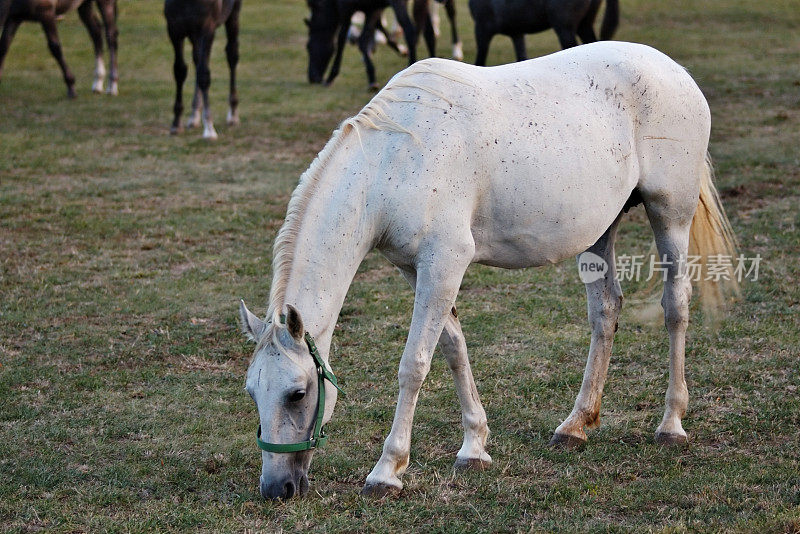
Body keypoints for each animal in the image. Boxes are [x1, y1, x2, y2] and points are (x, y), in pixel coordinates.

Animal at [166, 0, 242, 140]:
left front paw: (209, 129)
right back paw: (194, 116)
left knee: (232, 55)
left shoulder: (206, 29)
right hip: (194, 35)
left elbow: (203, 75)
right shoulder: (174, 30)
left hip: (233, 15)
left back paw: (233, 114)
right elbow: (179, 71)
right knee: (197, 60)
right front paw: (176, 123)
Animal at [238, 42, 736, 502]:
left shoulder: (445, 262)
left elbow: (414, 364)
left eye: (297, 393)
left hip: (670, 214)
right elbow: (453, 348)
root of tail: (673, 69)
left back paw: (671, 424)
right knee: (606, 312)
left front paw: (387, 470)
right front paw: (474, 447)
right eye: (252, 392)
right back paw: (575, 426)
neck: (392, 160)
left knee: (675, 307)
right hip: (600, 231)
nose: (276, 487)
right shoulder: (417, 269)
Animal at [306, 0, 456, 90]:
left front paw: (331, 76)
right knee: (428, 33)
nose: (312, 77)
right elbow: (368, 36)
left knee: (410, 30)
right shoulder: (372, 9)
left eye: (308, 47)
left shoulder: (347, 9)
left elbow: (342, 39)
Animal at [468, 0, 620, 66]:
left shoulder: (482, 29)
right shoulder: (517, 33)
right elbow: (522, 57)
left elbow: (480, 61)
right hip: (585, 25)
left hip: (564, 28)